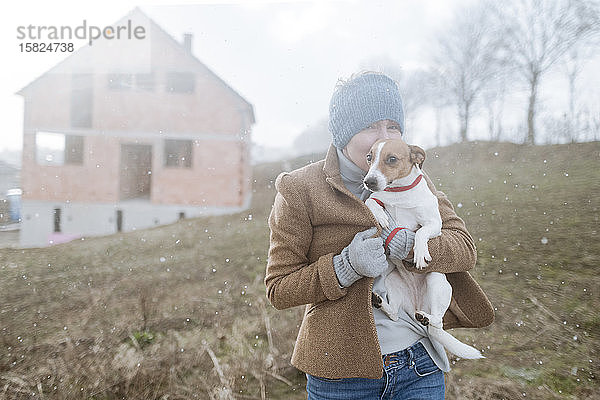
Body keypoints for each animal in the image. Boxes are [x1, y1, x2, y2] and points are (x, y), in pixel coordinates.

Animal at [360, 138, 482, 360]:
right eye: (369, 157)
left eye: (392, 159)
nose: (368, 182)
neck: (398, 193)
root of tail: (417, 305)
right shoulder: (378, 198)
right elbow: (371, 200)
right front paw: (380, 214)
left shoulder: (434, 224)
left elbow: (420, 232)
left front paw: (419, 252)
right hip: (393, 281)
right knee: (394, 314)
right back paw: (380, 303)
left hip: (436, 281)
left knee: (438, 323)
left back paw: (427, 318)